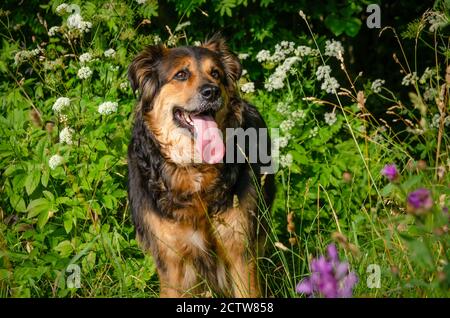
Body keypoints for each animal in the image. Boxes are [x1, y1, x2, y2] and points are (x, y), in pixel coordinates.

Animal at [125, 35, 274, 298]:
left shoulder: (240, 251)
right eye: (181, 74)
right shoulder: (171, 260)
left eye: (215, 73)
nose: (211, 91)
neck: (194, 167)